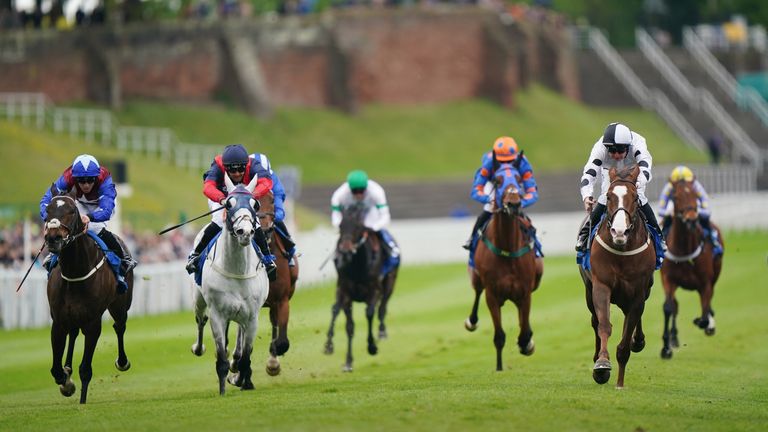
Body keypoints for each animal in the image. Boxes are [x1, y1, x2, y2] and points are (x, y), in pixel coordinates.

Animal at [42, 191, 133, 404]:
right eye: (48, 210)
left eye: (71, 211)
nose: (53, 238)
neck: (75, 272)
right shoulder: (58, 320)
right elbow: (56, 370)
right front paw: (66, 381)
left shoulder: (93, 322)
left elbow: (85, 369)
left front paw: (82, 402)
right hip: (73, 317)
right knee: (73, 333)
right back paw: (67, 368)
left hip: (120, 305)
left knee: (119, 326)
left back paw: (122, 361)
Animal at [322, 205, 400, 372]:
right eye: (340, 226)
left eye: (358, 226)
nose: (345, 250)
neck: (358, 266)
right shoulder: (345, 293)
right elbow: (349, 326)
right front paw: (348, 362)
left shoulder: (374, 291)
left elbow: (370, 313)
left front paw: (372, 347)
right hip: (339, 289)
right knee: (335, 309)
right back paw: (328, 345)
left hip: (390, 283)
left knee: (382, 308)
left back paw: (382, 332)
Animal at [464, 162, 544, 372]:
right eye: (497, 180)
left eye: (518, 178)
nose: (514, 203)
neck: (507, 247)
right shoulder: (492, 295)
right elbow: (499, 336)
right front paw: (499, 368)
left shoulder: (525, 292)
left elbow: (524, 331)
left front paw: (527, 343)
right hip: (477, 278)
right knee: (477, 292)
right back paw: (471, 321)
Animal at [580, 165, 656, 388]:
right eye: (608, 196)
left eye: (635, 197)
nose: (619, 231)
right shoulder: (601, 286)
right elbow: (604, 325)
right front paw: (602, 365)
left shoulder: (638, 293)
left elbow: (625, 341)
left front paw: (620, 383)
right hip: (589, 291)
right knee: (595, 321)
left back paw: (638, 341)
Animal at [660, 177, 728, 360]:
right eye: (675, 197)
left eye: (696, 195)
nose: (691, 219)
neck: (684, 249)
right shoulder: (668, 279)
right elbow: (669, 307)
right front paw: (666, 348)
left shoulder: (705, 283)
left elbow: (704, 313)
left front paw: (704, 322)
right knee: (675, 306)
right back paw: (674, 338)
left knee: (707, 303)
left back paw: (710, 323)